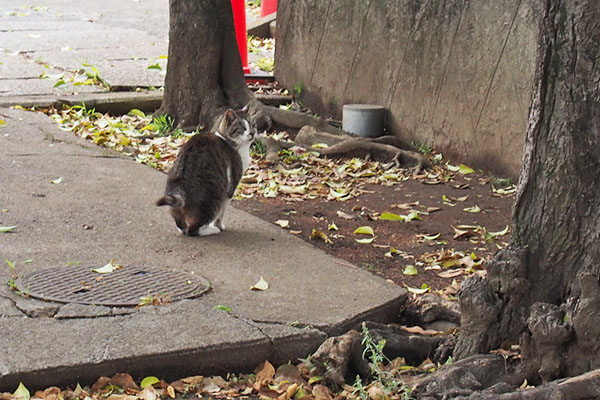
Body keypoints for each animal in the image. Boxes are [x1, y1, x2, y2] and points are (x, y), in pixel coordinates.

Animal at [156, 108, 254, 236]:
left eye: (252, 125)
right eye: (242, 128)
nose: (252, 133)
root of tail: (179, 184)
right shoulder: (230, 188)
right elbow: (221, 213)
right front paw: (218, 225)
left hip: (174, 203)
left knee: (180, 223)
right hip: (212, 198)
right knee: (193, 229)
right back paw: (212, 230)